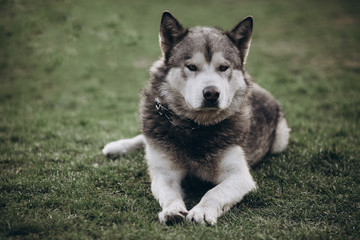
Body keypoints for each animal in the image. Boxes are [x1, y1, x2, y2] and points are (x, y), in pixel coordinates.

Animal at [102, 11, 290, 225]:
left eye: (223, 67)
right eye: (191, 66)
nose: (211, 93)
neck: (194, 128)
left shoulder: (240, 177)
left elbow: (215, 192)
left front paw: (203, 211)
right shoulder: (164, 173)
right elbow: (169, 193)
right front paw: (172, 210)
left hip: (280, 140)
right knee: (144, 137)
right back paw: (117, 147)